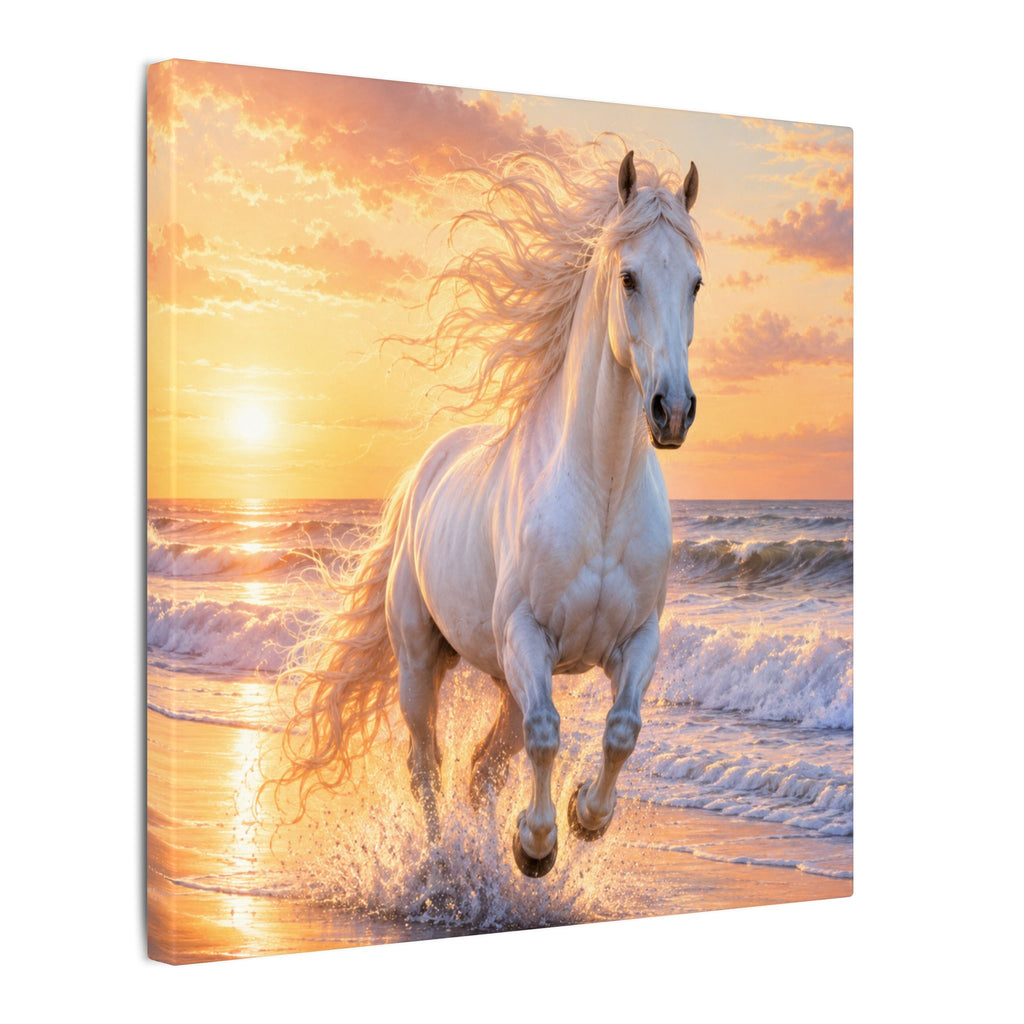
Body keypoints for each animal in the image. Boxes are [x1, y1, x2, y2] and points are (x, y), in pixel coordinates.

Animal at [276, 143, 703, 879]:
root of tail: (423, 473)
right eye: (629, 278)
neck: (600, 494)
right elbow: (544, 735)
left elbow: (621, 730)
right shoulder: (527, 636)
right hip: (422, 660)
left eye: (696, 284)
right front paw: (535, 845)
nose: (671, 411)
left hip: (503, 675)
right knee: (429, 764)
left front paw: (585, 817)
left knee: (482, 769)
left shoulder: (635, 638)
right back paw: (442, 862)